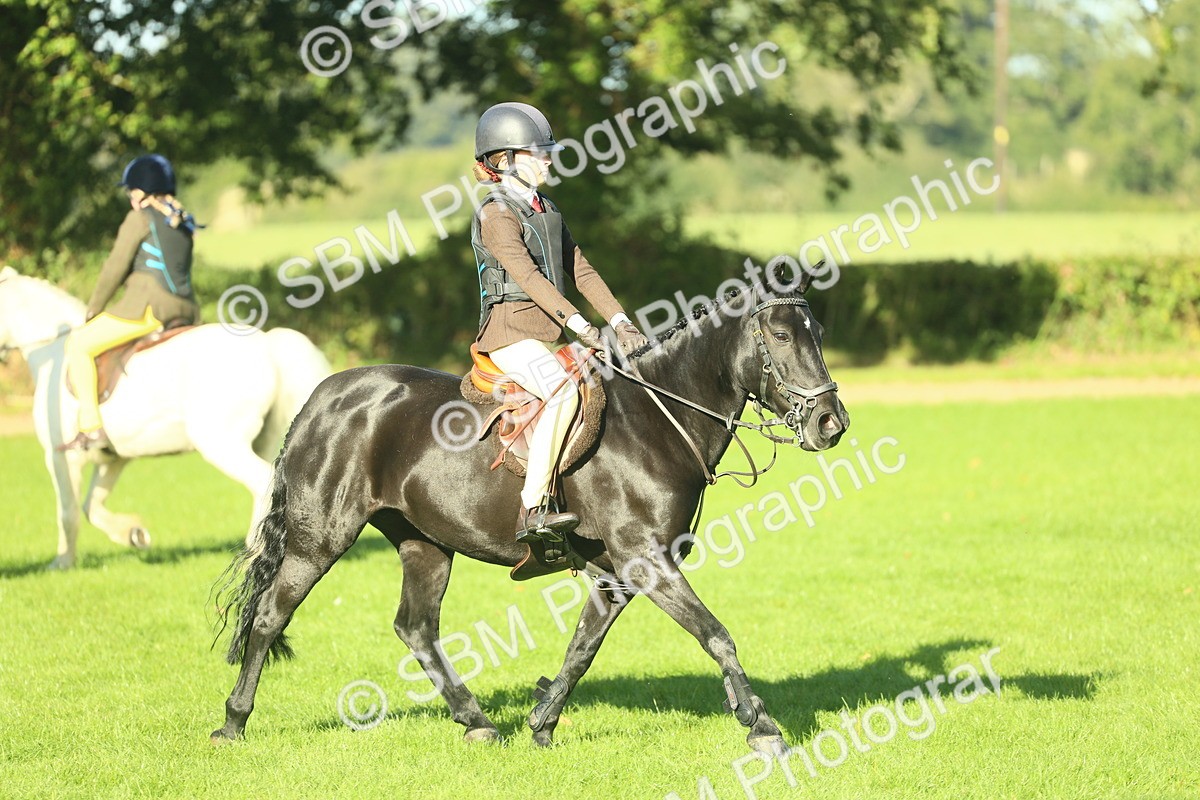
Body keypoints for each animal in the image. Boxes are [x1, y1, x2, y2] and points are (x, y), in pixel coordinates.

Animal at [0, 266, 331, 569]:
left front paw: (62, 562)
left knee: (261, 479)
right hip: (264, 441)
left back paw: (255, 549)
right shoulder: (113, 458)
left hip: (220, 443)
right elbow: (91, 506)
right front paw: (133, 534)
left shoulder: (60, 457)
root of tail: (267, 344)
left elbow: (68, 512)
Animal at [211, 267, 849, 753]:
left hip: (425, 544)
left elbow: (582, 649)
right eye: (782, 337)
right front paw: (762, 726)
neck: (657, 420)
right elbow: (717, 636)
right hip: (320, 537)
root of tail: (323, 397)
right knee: (269, 615)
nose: (831, 423)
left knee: (416, 628)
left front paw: (542, 722)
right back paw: (233, 722)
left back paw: (477, 723)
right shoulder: (644, 560)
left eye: (818, 332)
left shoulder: (617, 573)